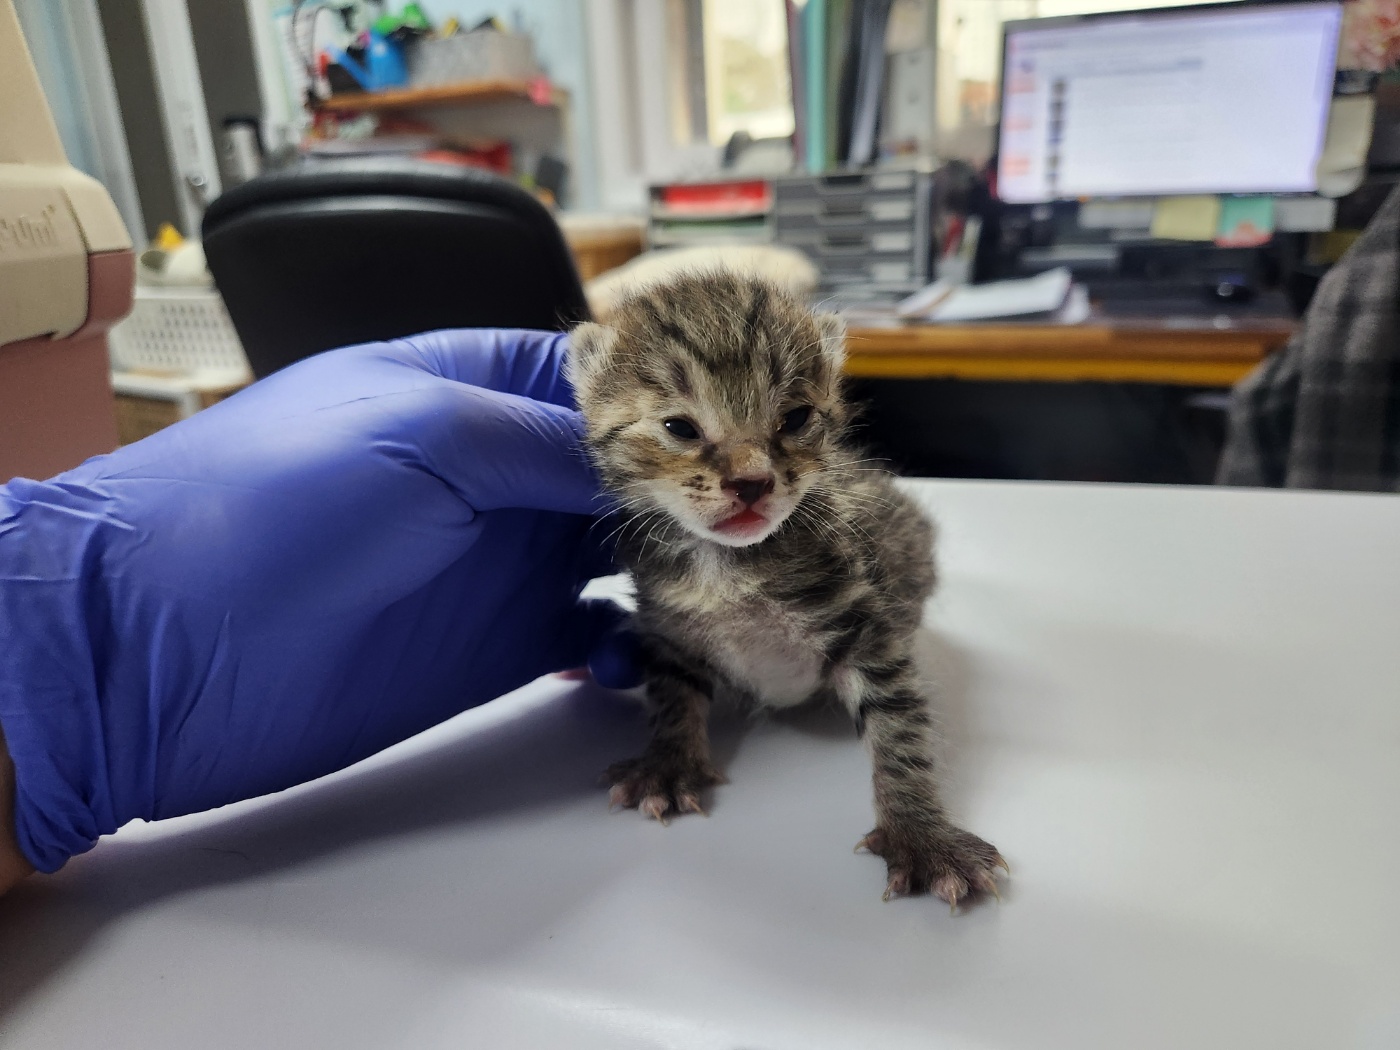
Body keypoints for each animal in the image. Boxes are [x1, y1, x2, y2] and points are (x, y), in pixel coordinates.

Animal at [568, 273, 1008, 912]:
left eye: (795, 418)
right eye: (679, 428)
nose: (751, 482)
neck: (725, 565)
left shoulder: (865, 627)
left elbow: (900, 731)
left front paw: (921, 835)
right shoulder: (668, 625)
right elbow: (672, 693)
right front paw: (670, 761)